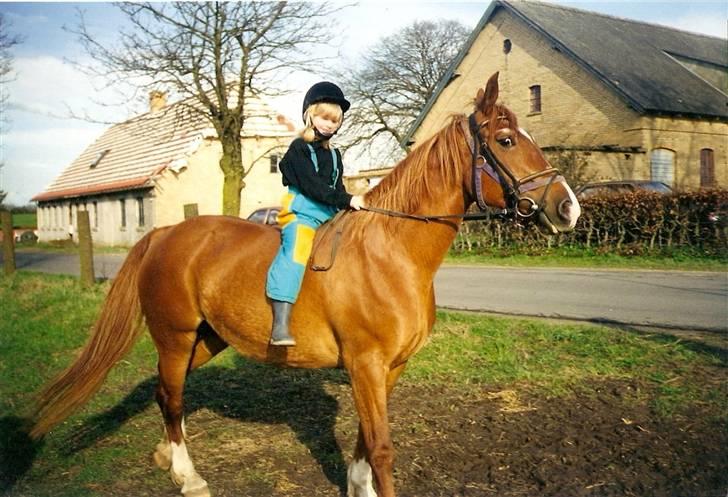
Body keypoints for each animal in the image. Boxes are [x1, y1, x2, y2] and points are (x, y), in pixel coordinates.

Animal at [31, 72, 580, 496]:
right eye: (506, 141)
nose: (568, 208)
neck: (392, 253)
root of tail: (165, 233)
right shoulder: (365, 364)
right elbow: (382, 447)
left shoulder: (387, 369)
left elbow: (363, 437)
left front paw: (357, 486)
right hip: (175, 335)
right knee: (172, 395)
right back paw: (189, 477)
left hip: (205, 340)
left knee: (168, 392)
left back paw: (168, 457)